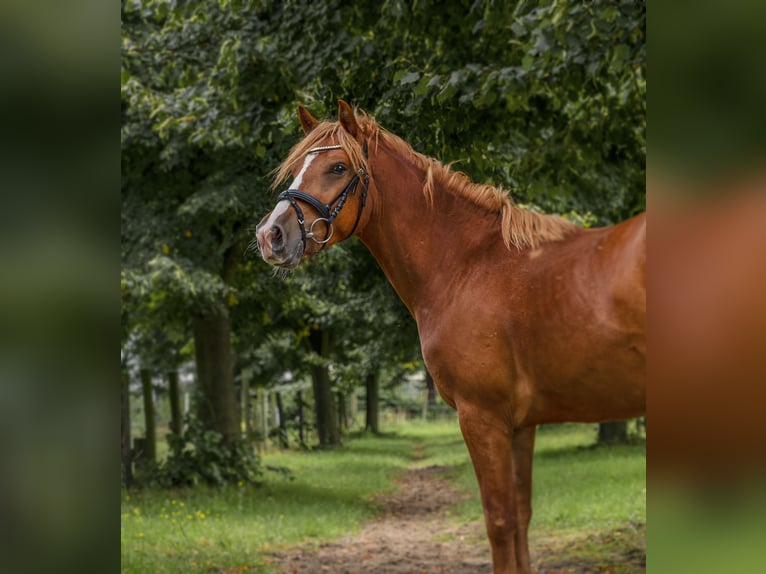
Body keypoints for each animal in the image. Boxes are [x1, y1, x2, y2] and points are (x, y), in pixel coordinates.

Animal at [258, 103, 648, 574]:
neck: (468, 266)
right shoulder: (521, 425)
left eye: (337, 167)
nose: (271, 235)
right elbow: (521, 516)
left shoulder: (482, 417)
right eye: (296, 167)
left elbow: (499, 520)